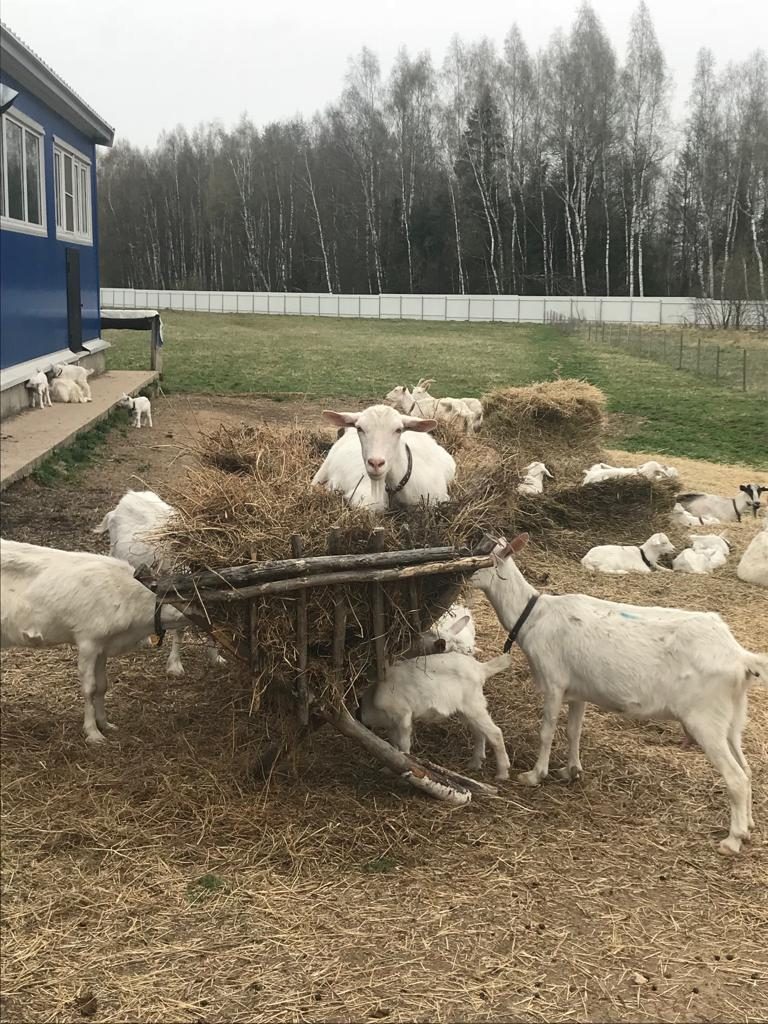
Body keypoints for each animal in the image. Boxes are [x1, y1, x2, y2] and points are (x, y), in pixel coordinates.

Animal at [0, 536, 192, 745]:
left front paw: (106, 724)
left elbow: (102, 685)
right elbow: (89, 687)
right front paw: (93, 732)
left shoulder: (103, 645)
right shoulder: (88, 641)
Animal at [358, 651, 514, 778]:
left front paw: (401, 764)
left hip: (473, 704)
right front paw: (388, 766)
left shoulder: (403, 716)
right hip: (466, 710)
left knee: (495, 732)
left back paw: (502, 773)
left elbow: (403, 743)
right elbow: (393, 743)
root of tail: (481, 668)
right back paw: (475, 764)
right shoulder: (393, 725)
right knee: (479, 732)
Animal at [475, 532, 768, 851]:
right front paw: (571, 770)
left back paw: (732, 840)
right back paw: (748, 827)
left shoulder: (554, 681)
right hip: (733, 717)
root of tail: (740, 658)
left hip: (705, 718)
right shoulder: (578, 690)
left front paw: (533, 775)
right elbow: (573, 731)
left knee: (736, 777)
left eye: (480, 555)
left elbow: (547, 732)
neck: (533, 617)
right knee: (746, 769)